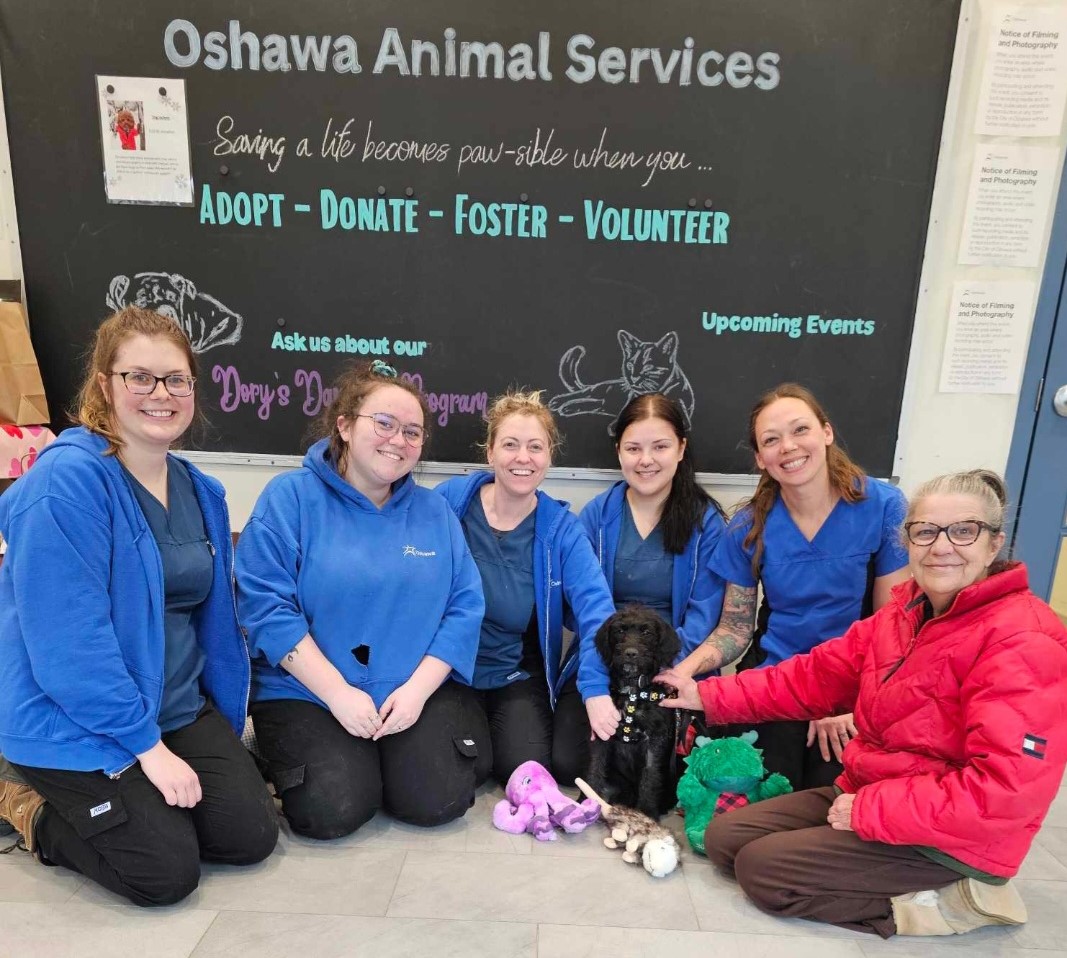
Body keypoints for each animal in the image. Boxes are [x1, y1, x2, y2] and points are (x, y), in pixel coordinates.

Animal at [588, 605, 678, 815]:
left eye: (647, 633)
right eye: (620, 630)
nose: (630, 653)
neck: (631, 693)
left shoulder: (656, 740)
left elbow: (650, 777)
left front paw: (647, 813)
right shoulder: (602, 733)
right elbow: (595, 769)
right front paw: (585, 802)